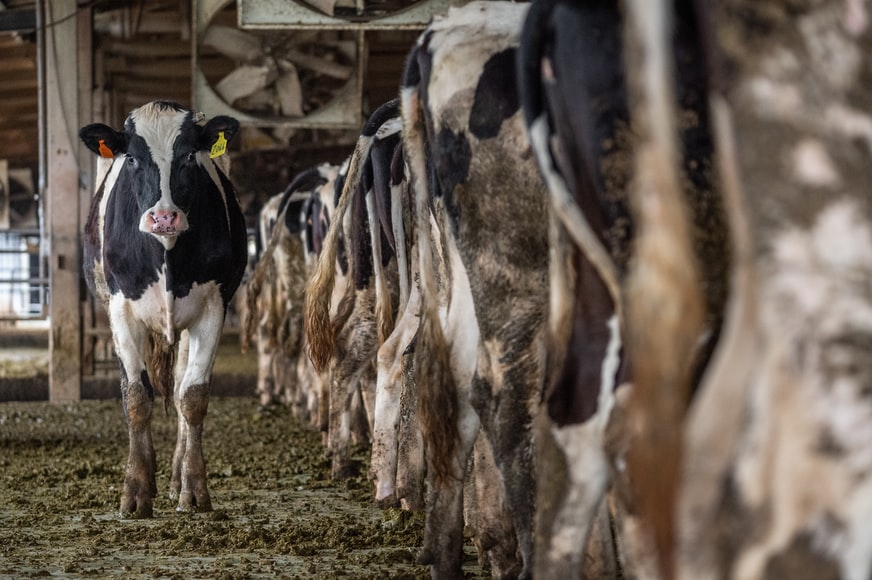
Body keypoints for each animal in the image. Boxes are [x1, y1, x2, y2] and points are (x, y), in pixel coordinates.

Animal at [79, 99, 247, 516]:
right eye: (132, 159)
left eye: (189, 155)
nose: (164, 216)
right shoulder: (121, 310)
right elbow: (137, 397)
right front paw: (136, 491)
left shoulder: (213, 308)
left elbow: (193, 396)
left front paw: (194, 488)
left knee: (180, 384)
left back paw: (173, 478)